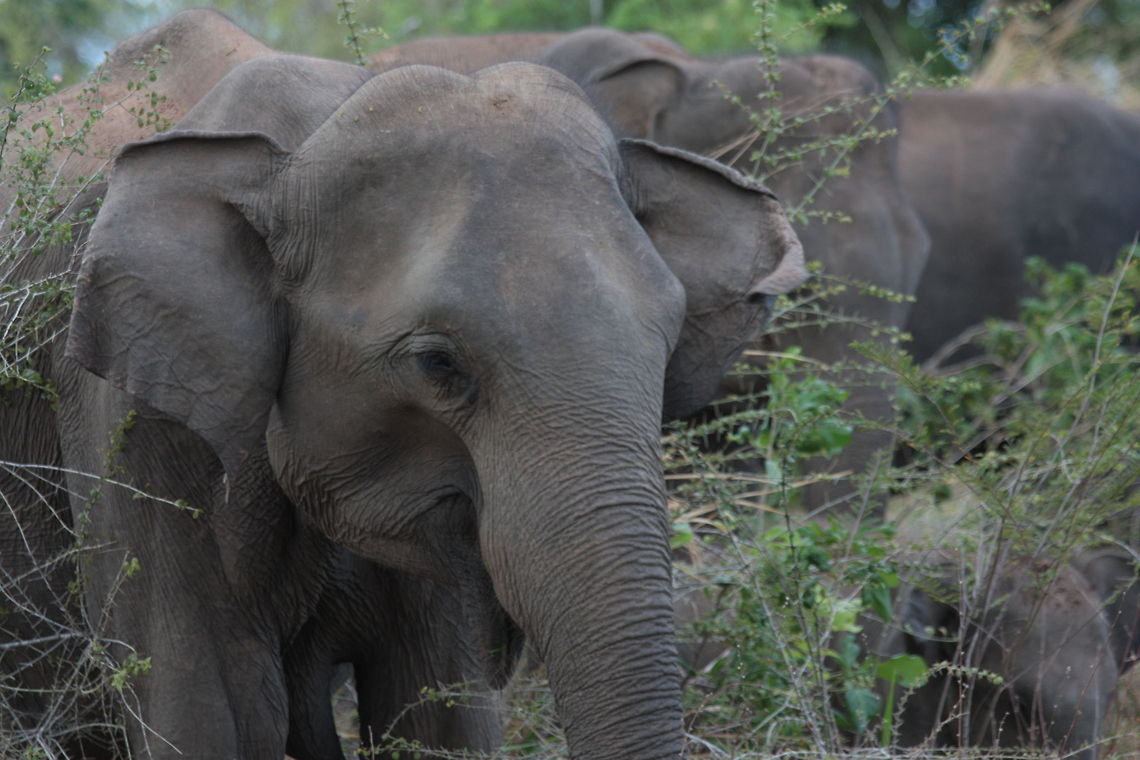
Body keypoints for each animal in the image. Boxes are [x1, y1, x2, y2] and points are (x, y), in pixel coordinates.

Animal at [0, 11, 808, 760]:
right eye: (437, 364)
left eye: (669, 344)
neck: (307, 137)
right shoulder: (130, 419)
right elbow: (206, 713)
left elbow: (439, 713)